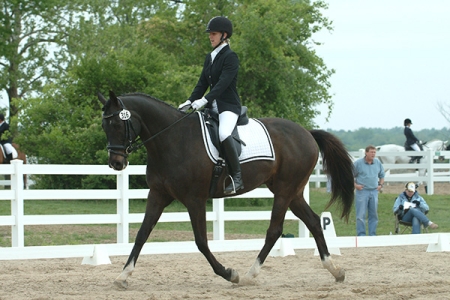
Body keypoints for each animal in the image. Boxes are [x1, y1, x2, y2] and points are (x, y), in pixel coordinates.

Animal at [98, 91, 356, 288]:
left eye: (118, 123)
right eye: (104, 125)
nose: (116, 163)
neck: (172, 139)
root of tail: (307, 133)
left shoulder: (195, 199)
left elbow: (201, 241)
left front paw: (229, 273)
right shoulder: (158, 195)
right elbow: (142, 234)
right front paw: (123, 275)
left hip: (285, 190)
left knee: (275, 230)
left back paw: (250, 275)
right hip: (292, 192)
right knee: (313, 221)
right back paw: (335, 270)